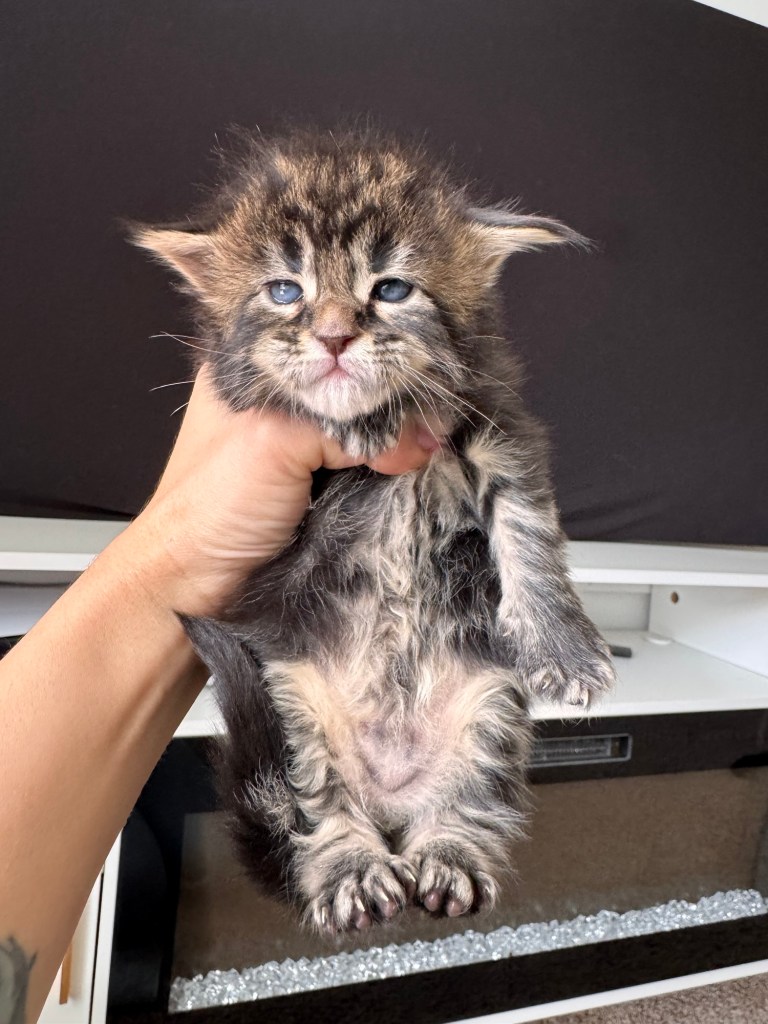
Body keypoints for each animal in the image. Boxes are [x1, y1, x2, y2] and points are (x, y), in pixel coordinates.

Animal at [132, 128, 615, 933]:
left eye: (391, 290)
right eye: (285, 290)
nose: (333, 338)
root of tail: (390, 797)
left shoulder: (500, 426)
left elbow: (528, 529)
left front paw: (564, 647)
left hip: (491, 705)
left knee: (470, 798)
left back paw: (449, 854)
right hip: (288, 710)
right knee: (315, 810)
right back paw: (352, 868)